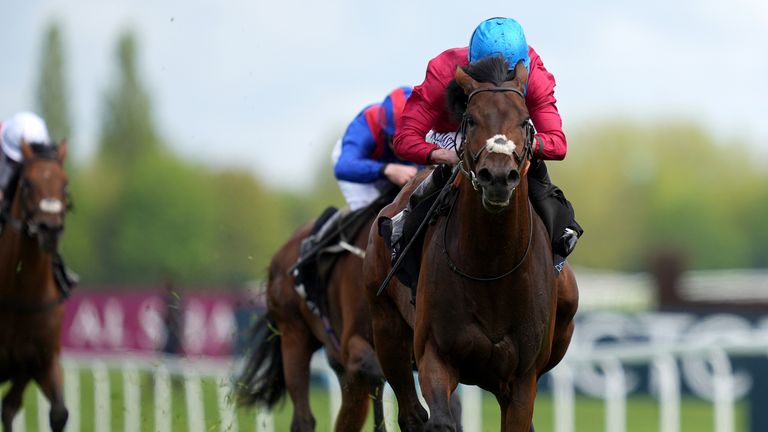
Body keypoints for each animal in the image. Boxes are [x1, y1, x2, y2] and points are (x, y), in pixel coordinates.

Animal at [364, 55, 576, 430]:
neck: (492, 267)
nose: (498, 177)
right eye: (472, 118)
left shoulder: (523, 377)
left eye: (525, 121)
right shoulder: (436, 354)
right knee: (411, 412)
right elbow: (440, 419)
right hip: (386, 328)